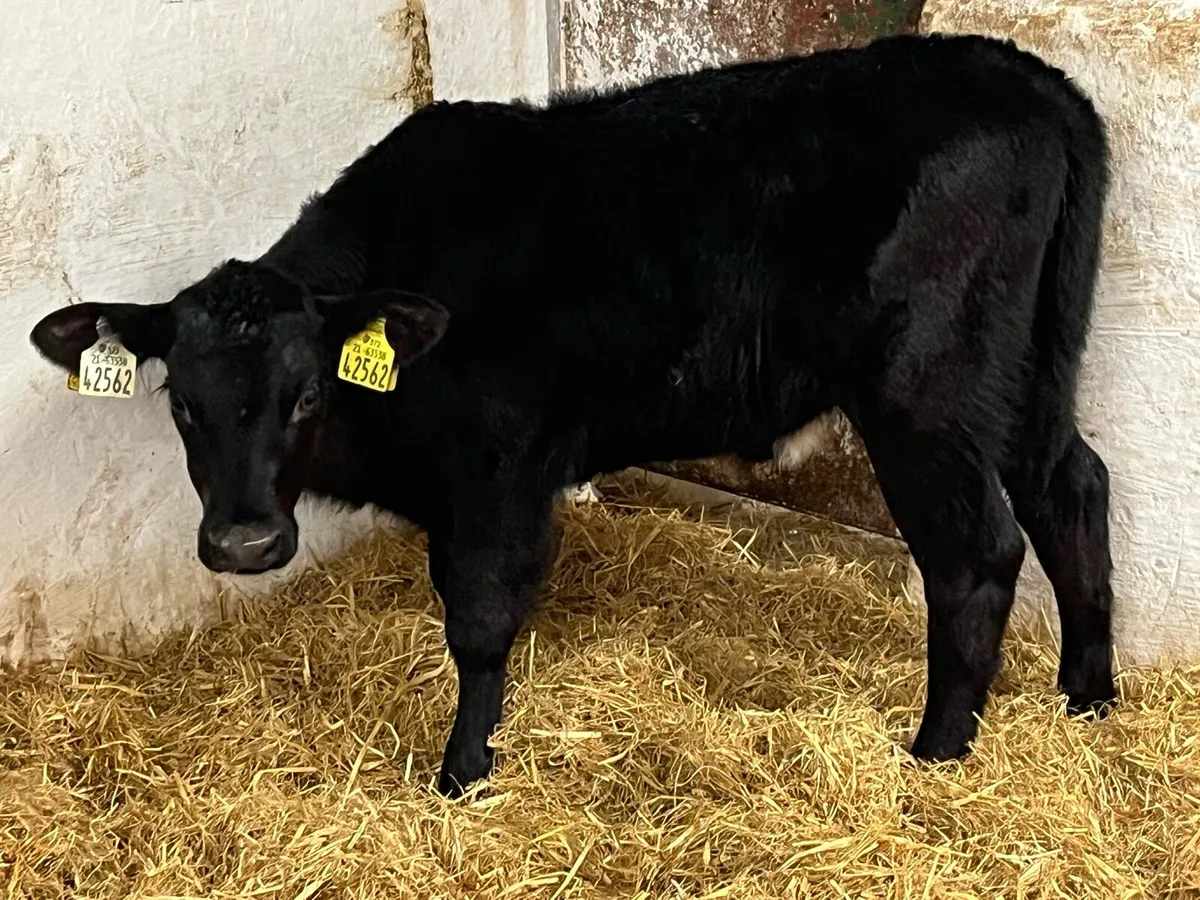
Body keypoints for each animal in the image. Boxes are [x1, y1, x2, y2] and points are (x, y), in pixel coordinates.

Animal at [29, 33, 1116, 797]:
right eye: (182, 402)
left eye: (307, 393)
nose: (246, 544)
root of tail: (1024, 75)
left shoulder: (495, 468)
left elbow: (477, 619)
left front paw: (463, 772)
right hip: (1034, 369)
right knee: (1073, 489)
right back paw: (1089, 698)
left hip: (927, 389)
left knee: (978, 551)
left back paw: (936, 752)